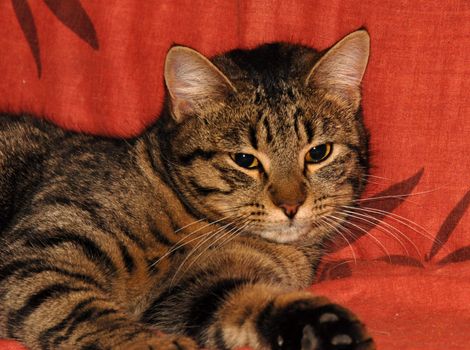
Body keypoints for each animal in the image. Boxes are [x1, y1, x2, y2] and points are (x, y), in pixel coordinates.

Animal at [0, 30, 374, 350]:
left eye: (318, 152)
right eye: (245, 160)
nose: (291, 205)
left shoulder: (195, 291)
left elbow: (249, 300)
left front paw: (323, 327)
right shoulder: (40, 252)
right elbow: (82, 311)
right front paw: (150, 343)